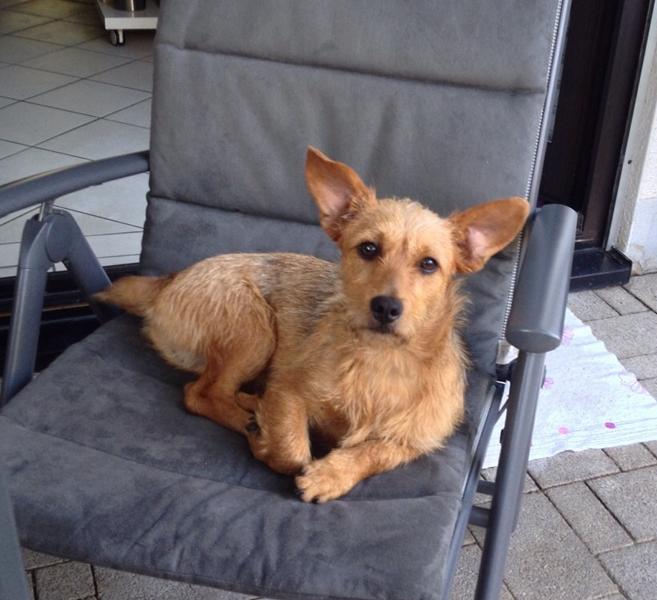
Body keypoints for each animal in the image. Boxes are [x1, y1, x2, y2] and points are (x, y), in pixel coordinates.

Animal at [96, 147, 529, 502]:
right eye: (368, 248)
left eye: (429, 264)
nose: (386, 307)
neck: (379, 362)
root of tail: (166, 281)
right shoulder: (289, 390)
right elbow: (292, 451)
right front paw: (271, 444)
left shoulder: (416, 439)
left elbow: (374, 451)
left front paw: (331, 475)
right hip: (254, 330)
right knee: (200, 392)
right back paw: (249, 418)